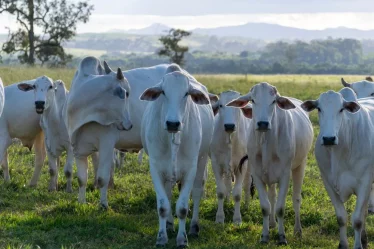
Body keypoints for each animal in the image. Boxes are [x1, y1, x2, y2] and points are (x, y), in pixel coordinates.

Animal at [140, 65, 216, 247]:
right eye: (163, 92)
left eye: (186, 93)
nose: (173, 123)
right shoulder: (156, 168)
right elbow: (163, 206)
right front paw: (161, 237)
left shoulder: (190, 169)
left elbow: (182, 208)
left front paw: (182, 239)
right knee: (168, 194)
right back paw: (169, 224)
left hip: (202, 160)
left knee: (197, 192)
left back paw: (194, 227)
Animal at [209, 90, 253, 225]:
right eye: (220, 105)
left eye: (237, 106)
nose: (229, 126)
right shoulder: (216, 163)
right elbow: (220, 191)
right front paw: (219, 217)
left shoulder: (242, 165)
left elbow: (238, 194)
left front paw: (237, 219)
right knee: (227, 184)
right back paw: (227, 202)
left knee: (247, 184)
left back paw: (246, 205)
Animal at [226, 82, 314, 244]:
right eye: (253, 100)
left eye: (273, 101)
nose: (262, 123)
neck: (266, 142)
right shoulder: (258, 174)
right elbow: (266, 207)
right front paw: (265, 235)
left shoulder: (285, 175)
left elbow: (280, 208)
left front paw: (282, 237)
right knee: (272, 196)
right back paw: (272, 223)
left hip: (300, 165)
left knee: (296, 198)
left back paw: (297, 230)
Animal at [300, 90, 374, 249]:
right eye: (319, 108)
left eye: (341, 109)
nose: (329, 138)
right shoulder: (328, 183)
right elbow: (341, 217)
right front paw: (343, 244)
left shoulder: (364, 183)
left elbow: (357, 219)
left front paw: (358, 246)